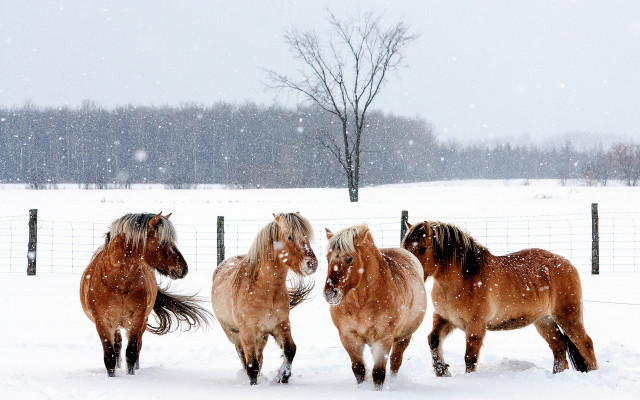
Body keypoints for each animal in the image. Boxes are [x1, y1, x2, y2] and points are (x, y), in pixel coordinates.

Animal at [80, 212, 211, 377]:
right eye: (164, 241)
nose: (184, 269)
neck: (119, 284)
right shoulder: (103, 323)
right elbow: (109, 357)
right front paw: (113, 376)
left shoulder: (137, 321)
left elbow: (131, 353)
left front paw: (131, 375)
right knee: (118, 345)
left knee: (137, 346)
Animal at [211, 212, 318, 385]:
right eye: (290, 237)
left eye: (307, 236)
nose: (311, 264)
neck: (266, 291)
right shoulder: (247, 332)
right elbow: (252, 365)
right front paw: (255, 384)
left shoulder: (281, 324)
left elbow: (290, 350)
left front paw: (283, 376)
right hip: (234, 335)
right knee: (243, 356)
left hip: (262, 337)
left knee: (260, 356)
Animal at [324, 225, 427, 390]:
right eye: (328, 258)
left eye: (349, 258)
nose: (329, 293)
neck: (359, 304)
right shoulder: (348, 337)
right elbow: (358, 369)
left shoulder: (383, 337)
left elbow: (378, 373)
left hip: (404, 337)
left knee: (395, 362)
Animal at [401, 220, 598, 376]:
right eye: (404, 246)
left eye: (422, 248)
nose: (410, 270)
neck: (464, 278)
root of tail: (568, 264)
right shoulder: (444, 318)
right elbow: (433, 340)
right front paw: (442, 372)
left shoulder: (475, 327)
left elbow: (470, 357)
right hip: (544, 320)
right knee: (559, 346)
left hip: (568, 316)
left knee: (585, 343)